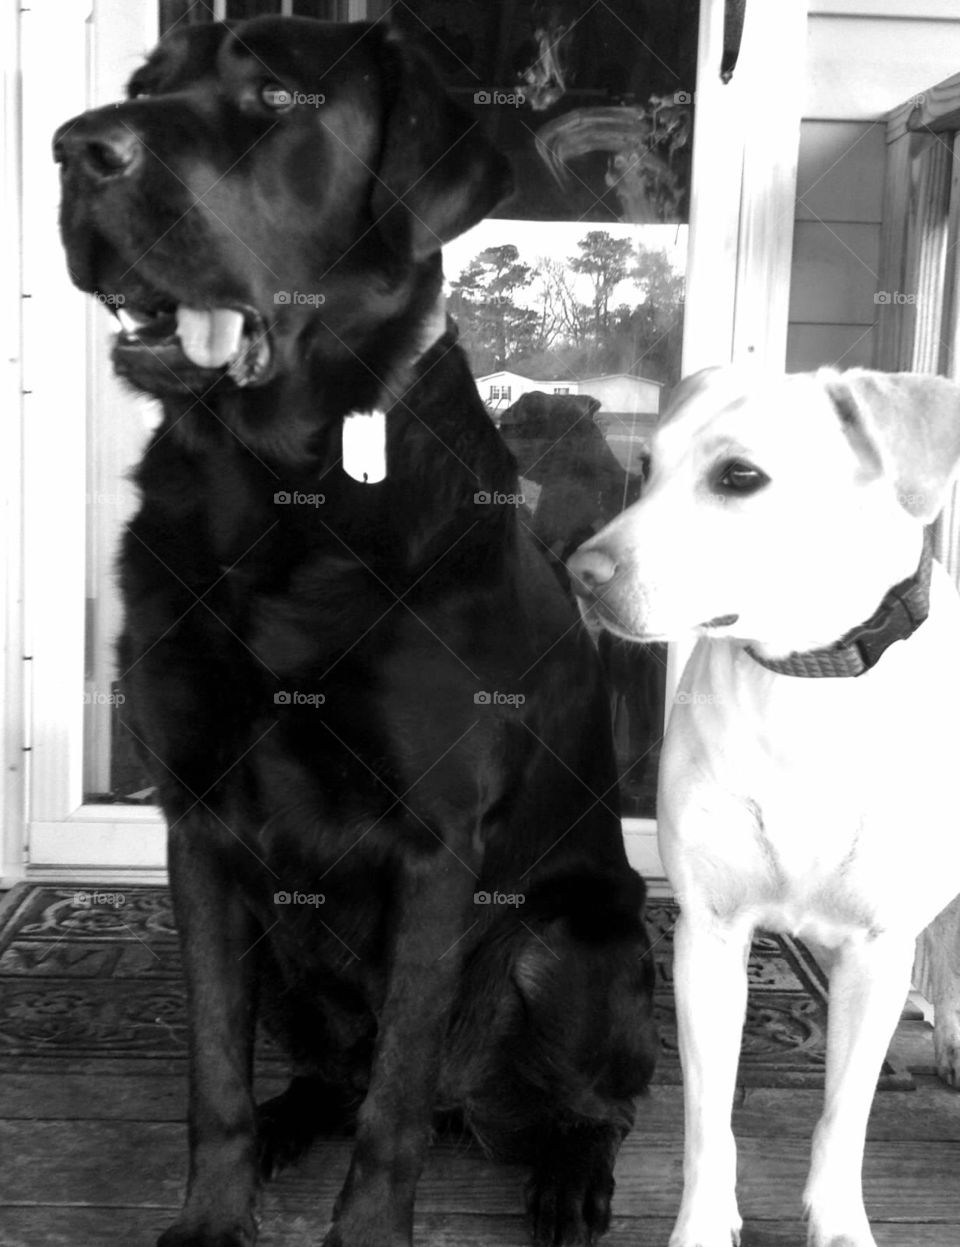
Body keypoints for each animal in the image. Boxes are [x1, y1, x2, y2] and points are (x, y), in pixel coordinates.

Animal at [50, 17, 648, 1247]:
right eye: (143, 84)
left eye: (276, 93)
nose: (76, 148)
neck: (275, 493)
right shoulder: (198, 827)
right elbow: (214, 1070)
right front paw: (211, 1215)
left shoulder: (436, 844)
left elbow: (397, 1101)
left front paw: (367, 1226)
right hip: (286, 939)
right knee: (333, 1071)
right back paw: (293, 1119)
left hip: (582, 934)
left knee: (582, 1100)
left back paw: (571, 1174)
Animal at [563, 366, 957, 1247]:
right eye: (647, 470)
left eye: (739, 476)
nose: (579, 572)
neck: (806, 679)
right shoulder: (708, 937)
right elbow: (709, 1119)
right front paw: (705, 1224)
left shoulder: (877, 951)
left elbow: (844, 1115)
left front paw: (838, 1221)